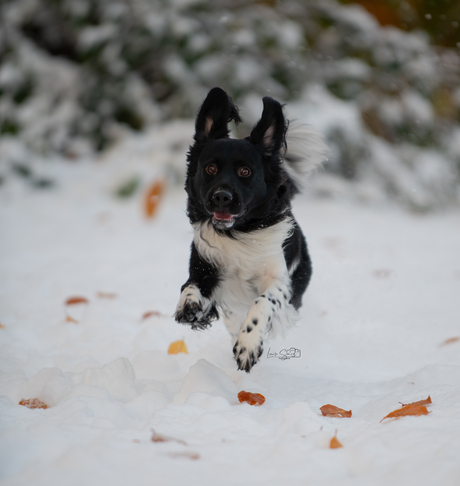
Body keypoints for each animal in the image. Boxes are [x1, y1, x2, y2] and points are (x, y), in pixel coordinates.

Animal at [173, 88, 328, 372]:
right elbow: (190, 286)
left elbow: (263, 302)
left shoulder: (279, 280)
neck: (240, 233)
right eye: (210, 168)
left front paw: (248, 345)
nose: (221, 197)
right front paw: (190, 308)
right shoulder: (204, 266)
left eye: (245, 171)